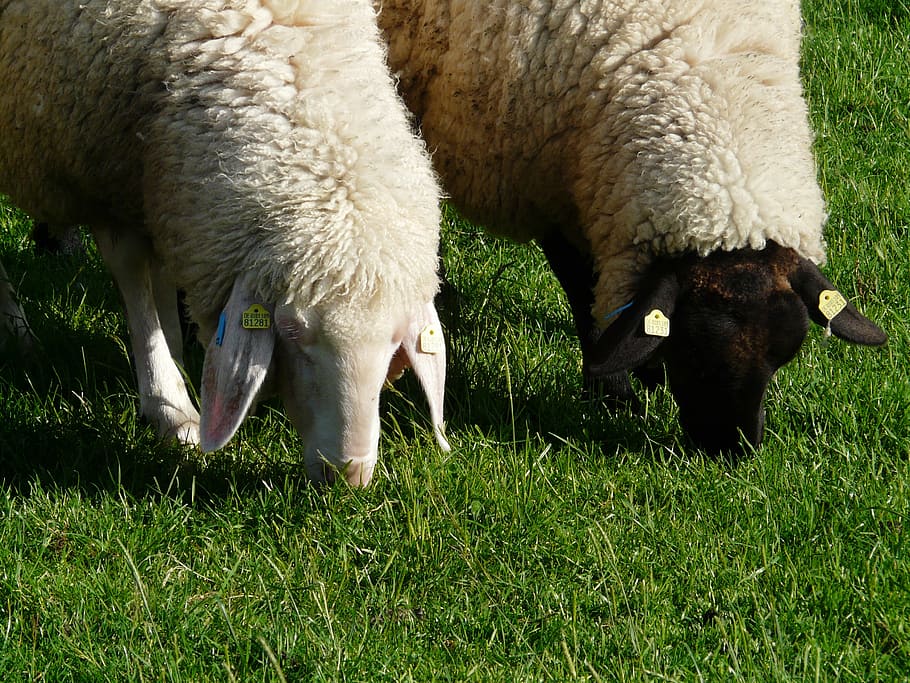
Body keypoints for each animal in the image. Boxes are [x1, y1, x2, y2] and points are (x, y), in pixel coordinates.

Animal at [0, 0, 450, 485]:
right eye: (291, 332)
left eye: (395, 343)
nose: (348, 475)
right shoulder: (101, 166)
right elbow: (133, 275)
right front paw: (168, 405)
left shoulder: (159, 177)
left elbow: (162, 273)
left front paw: (174, 354)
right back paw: (16, 328)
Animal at [375, 0, 886, 451]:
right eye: (691, 349)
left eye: (783, 357)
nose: (732, 451)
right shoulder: (553, 186)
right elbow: (584, 292)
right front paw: (613, 392)